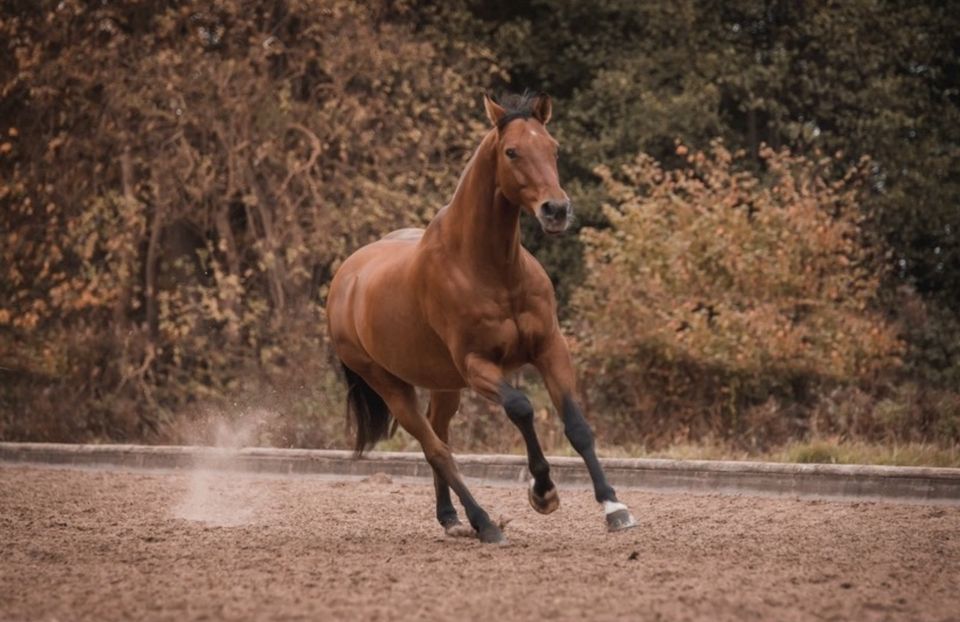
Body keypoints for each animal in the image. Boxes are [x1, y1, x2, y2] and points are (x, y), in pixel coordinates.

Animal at [330, 92, 636, 544]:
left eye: (554, 148)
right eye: (512, 152)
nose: (556, 210)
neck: (492, 269)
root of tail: (345, 279)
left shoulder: (550, 349)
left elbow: (577, 426)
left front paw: (614, 507)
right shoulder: (478, 366)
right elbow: (522, 408)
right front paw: (542, 491)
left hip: (443, 386)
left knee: (438, 437)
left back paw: (452, 518)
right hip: (390, 385)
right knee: (437, 449)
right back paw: (485, 522)